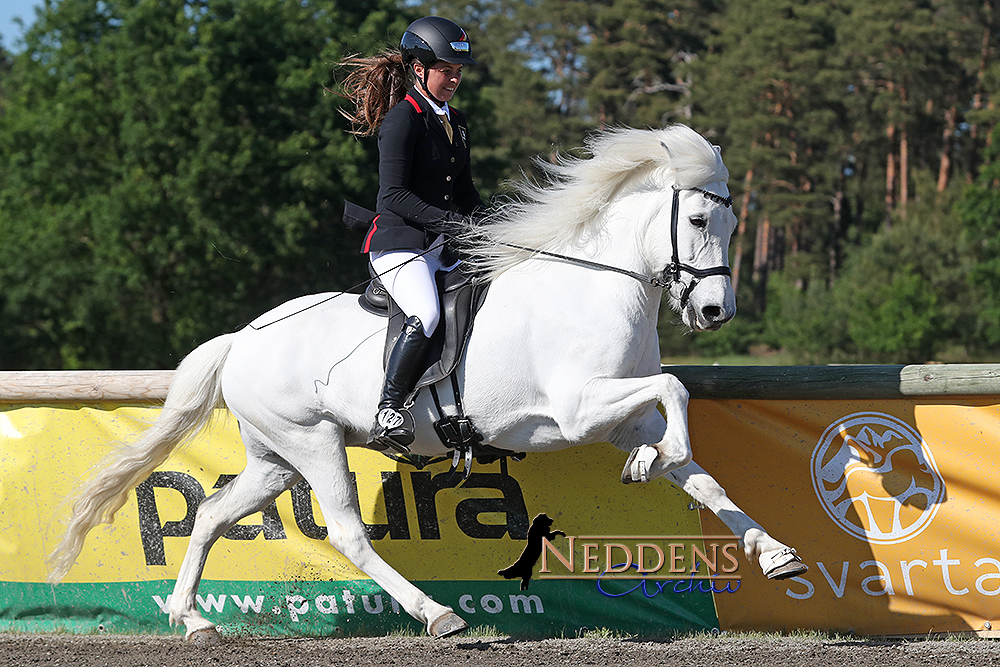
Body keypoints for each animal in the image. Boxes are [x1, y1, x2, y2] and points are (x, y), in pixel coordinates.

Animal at [50, 124, 808, 640]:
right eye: (701, 219)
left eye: (734, 222)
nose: (715, 312)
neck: (594, 286)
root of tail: (242, 339)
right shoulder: (578, 408)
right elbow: (677, 390)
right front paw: (657, 459)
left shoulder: (621, 412)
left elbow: (702, 473)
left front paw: (776, 554)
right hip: (314, 443)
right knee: (348, 534)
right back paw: (438, 613)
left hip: (275, 456)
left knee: (210, 514)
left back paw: (193, 619)